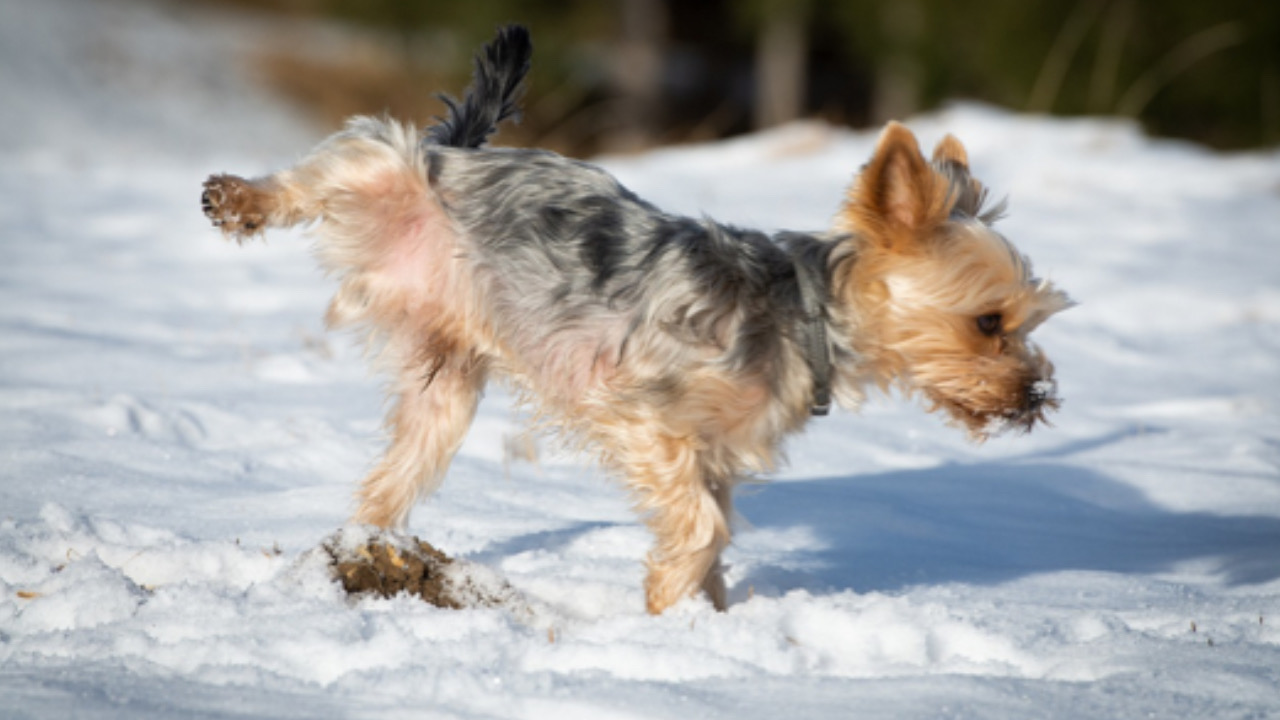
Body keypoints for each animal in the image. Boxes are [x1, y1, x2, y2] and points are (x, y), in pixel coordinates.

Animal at [204, 26, 1075, 609]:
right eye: (990, 322)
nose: (1037, 397)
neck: (805, 315)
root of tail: (463, 150)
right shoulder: (643, 415)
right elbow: (701, 527)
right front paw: (667, 604)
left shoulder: (716, 455)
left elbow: (713, 532)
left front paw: (703, 626)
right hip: (388, 168)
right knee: (340, 158)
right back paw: (238, 198)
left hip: (445, 385)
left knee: (396, 471)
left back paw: (365, 547)